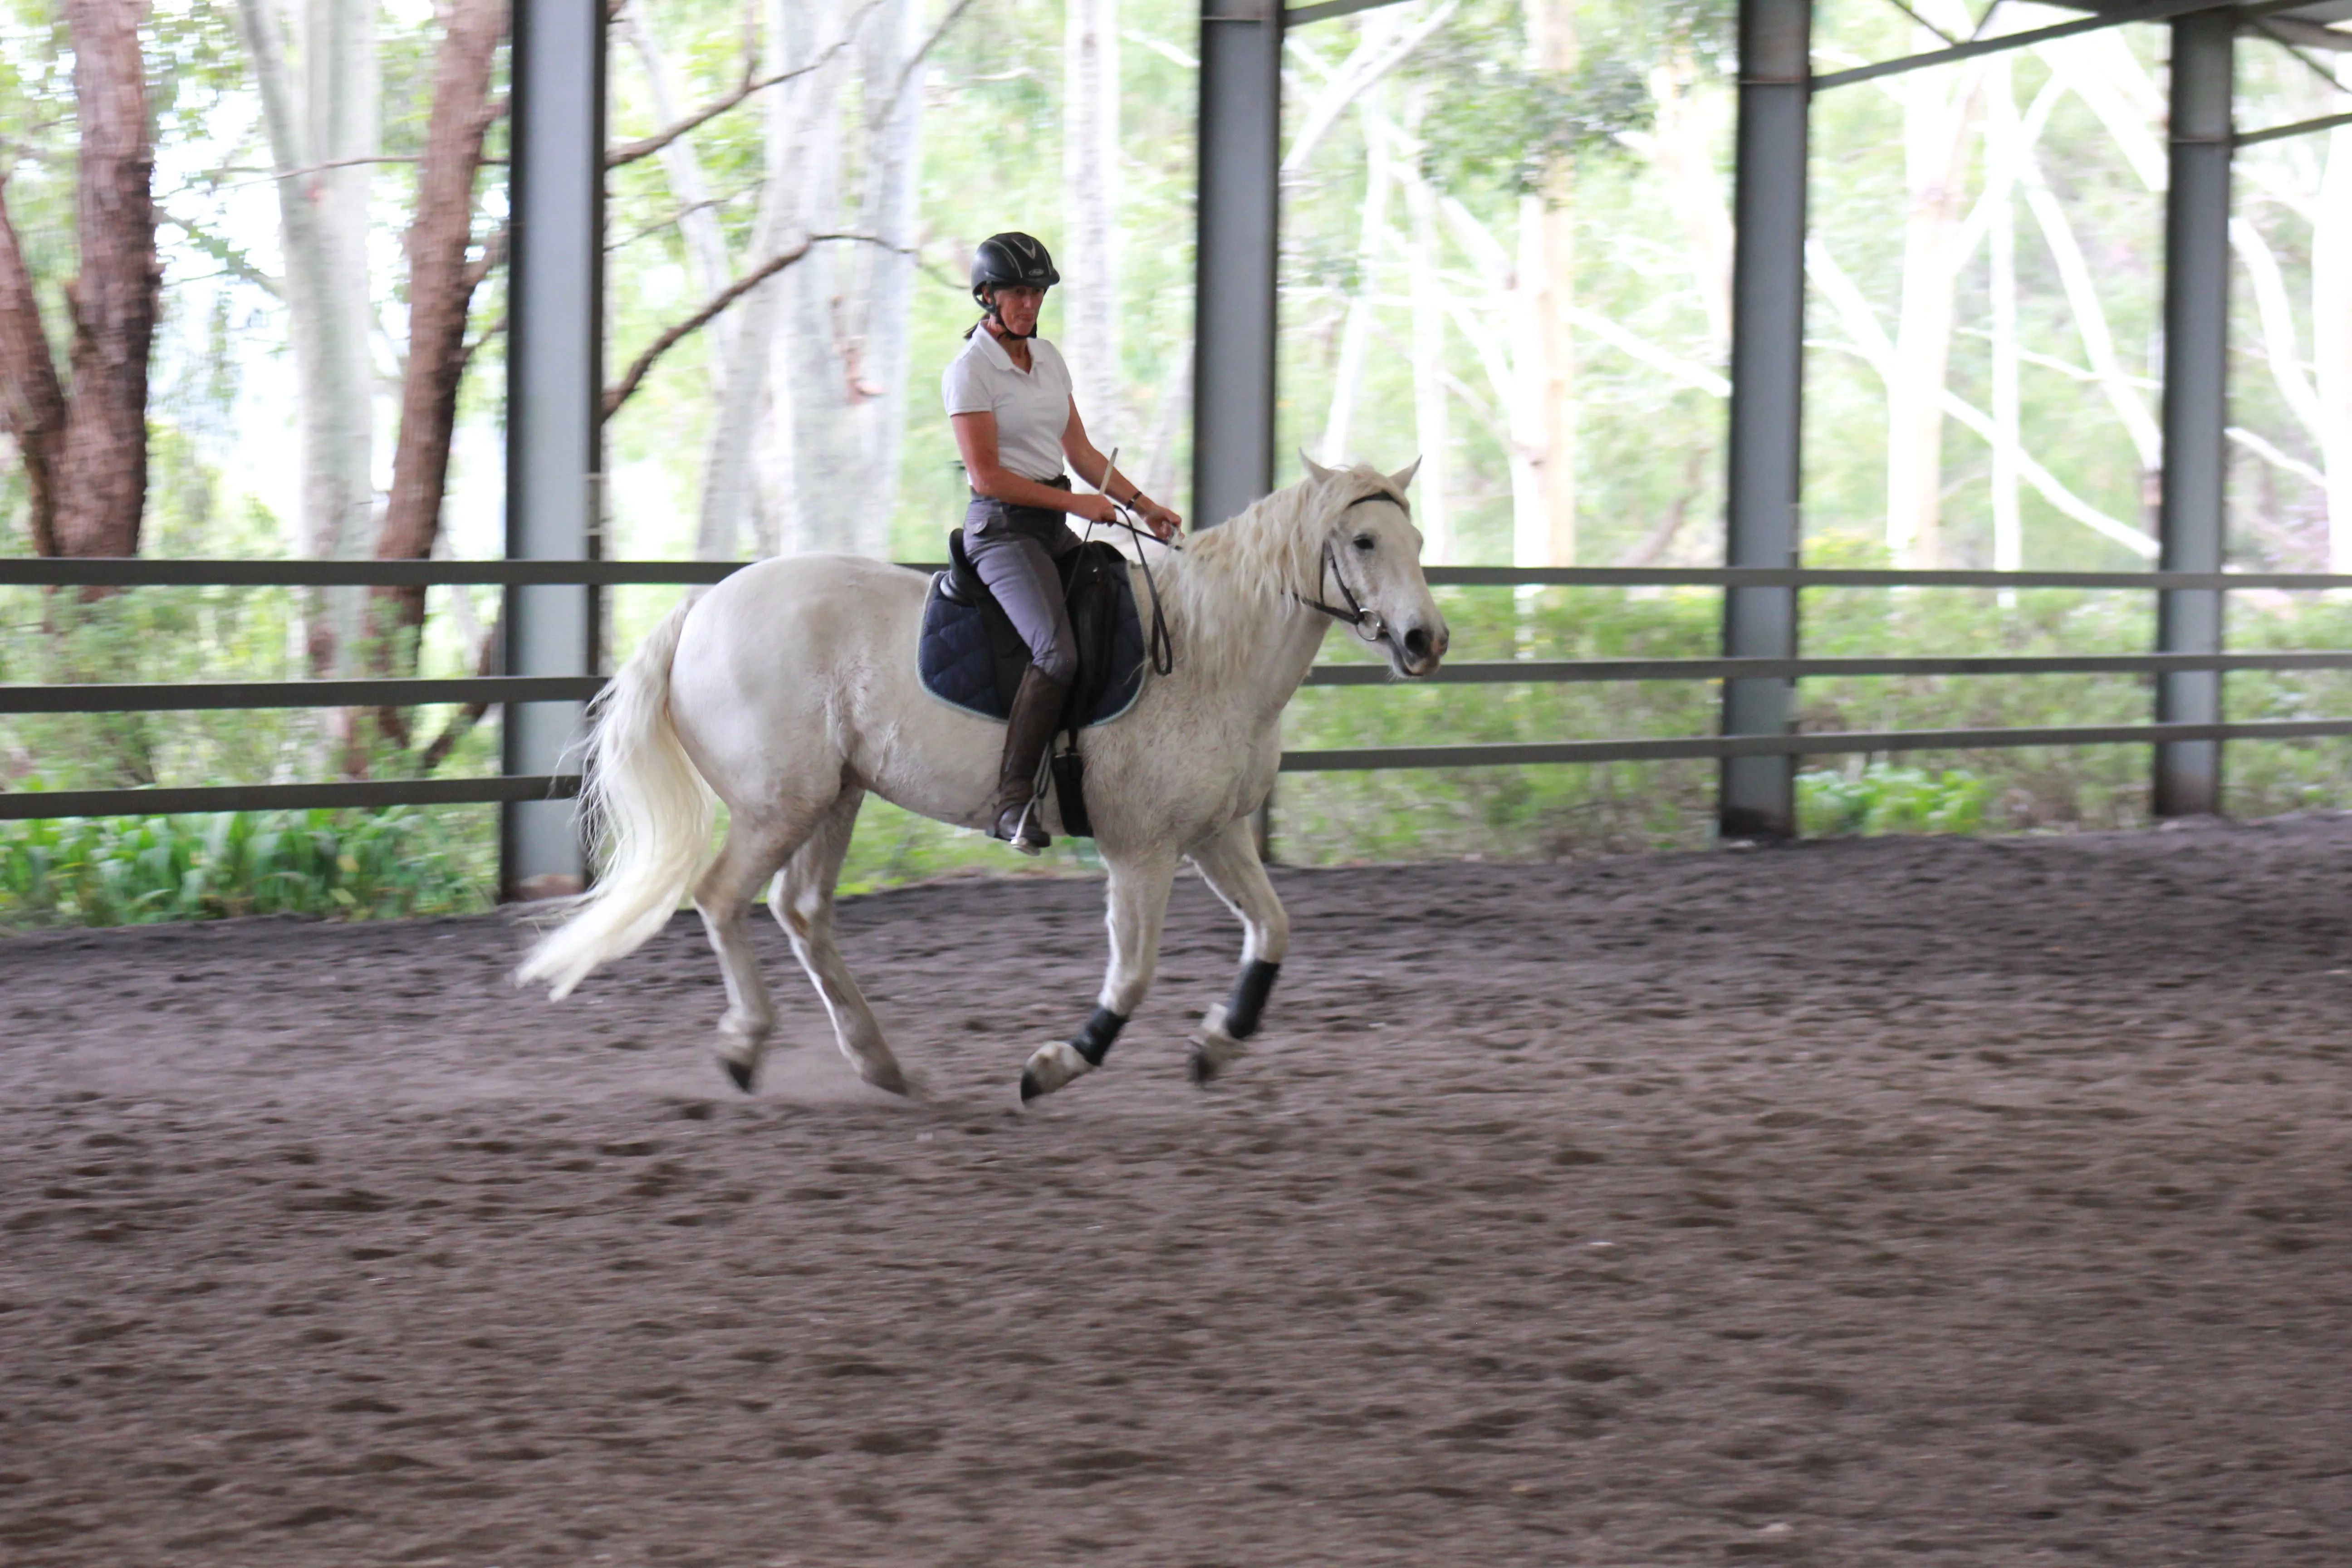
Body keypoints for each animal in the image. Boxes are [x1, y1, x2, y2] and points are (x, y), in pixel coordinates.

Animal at [515, 456, 1439, 1105]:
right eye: (1364, 542)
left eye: (1418, 544)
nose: (1426, 640)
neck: (1210, 653)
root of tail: (702, 608)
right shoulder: (1141, 849)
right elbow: (1134, 972)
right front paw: (1056, 1064)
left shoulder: (1214, 834)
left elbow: (1273, 932)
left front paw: (1217, 1042)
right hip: (780, 805)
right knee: (721, 899)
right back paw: (747, 1045)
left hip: (835, 797)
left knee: (801, 912)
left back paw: (883, 1067)